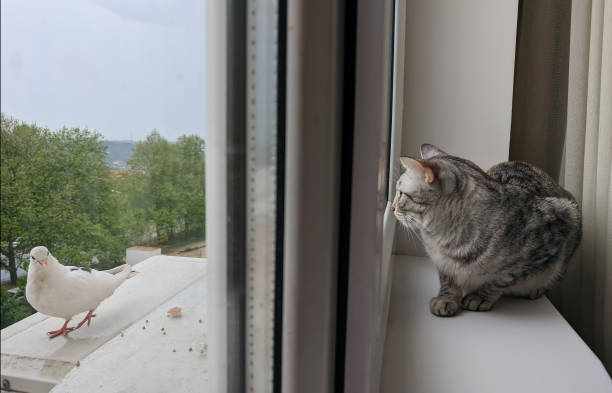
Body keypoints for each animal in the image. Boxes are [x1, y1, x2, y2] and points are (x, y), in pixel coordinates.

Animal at [394, 144, 580, 316]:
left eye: (400, 193)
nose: (392, 207)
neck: (444, 239)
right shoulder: (441, 262)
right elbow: (447, 280)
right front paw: (446, 299)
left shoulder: (554, 232)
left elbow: (501, 279)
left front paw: (480, 297)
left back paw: (537, 289)